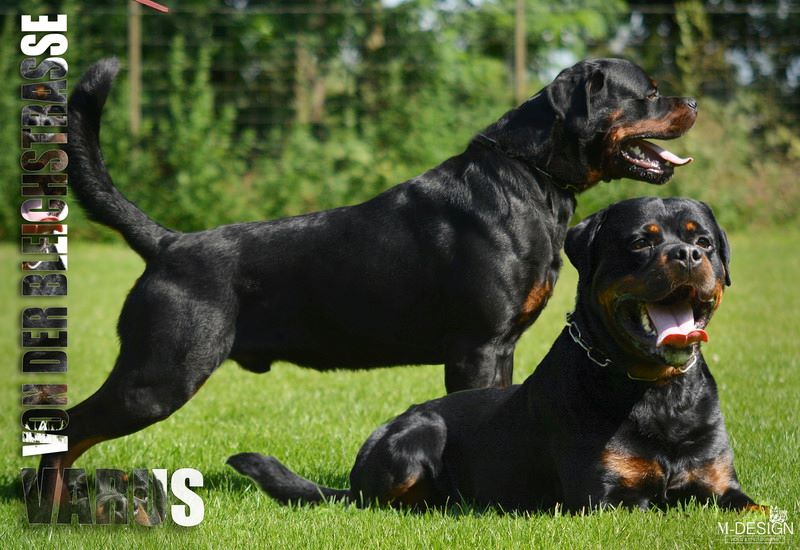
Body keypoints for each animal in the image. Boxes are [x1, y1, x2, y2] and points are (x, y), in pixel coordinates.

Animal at [43, 57, 696, 477]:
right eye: (648, 92)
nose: (691, 102)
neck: (528, 177)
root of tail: (169, 243)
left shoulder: (502, 348)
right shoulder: (477, 347)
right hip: (159, 373)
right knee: (69, 431)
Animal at [229, 197, 762, 512]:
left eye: (702, 240)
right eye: (640, 241)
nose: (688, 255)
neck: (657, 388)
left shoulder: (720, 483)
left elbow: (758, 506)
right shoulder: (605, 497)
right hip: (416, 438)